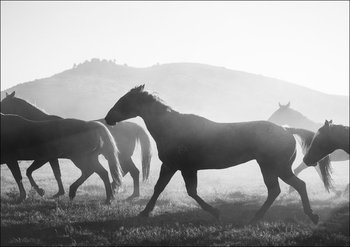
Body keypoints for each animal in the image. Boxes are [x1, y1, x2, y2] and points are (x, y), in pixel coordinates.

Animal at [1, 91, 152, 200]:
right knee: (125, 171)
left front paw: (46, 191)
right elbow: (55, 173)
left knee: (126, 171)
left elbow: (42, 173)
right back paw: (120, 191)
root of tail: (134, 126)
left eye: (4, 103)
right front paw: (57, 192)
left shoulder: (47, 158)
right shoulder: (50, 158)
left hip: (108, 157)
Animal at [104, 85, 320, 224]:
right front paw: (145, 212)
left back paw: (307, 215)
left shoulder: (181, 167)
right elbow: (164, 188)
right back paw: (260, 217)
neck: (172, 127)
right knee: (279, 189)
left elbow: (186, 191)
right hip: (271, 167)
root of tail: (287, 130)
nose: (108, 118)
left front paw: (215, 212)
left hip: (277, 167)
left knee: (292, 186)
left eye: (125, 100)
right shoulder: (176, 167)